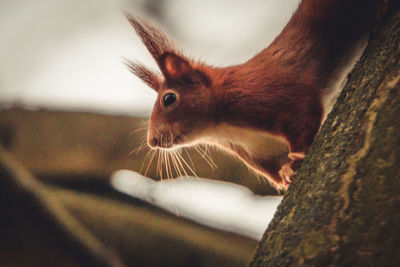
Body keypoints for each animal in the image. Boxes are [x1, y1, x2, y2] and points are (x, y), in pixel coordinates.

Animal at [126, 1, 388, 192]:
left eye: (169, 99)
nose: (152, 141)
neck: (223, 128)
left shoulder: (273, 96)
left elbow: (305, 115)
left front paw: (296, 159)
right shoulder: (257, 153)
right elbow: (273, 170)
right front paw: (285, 175)